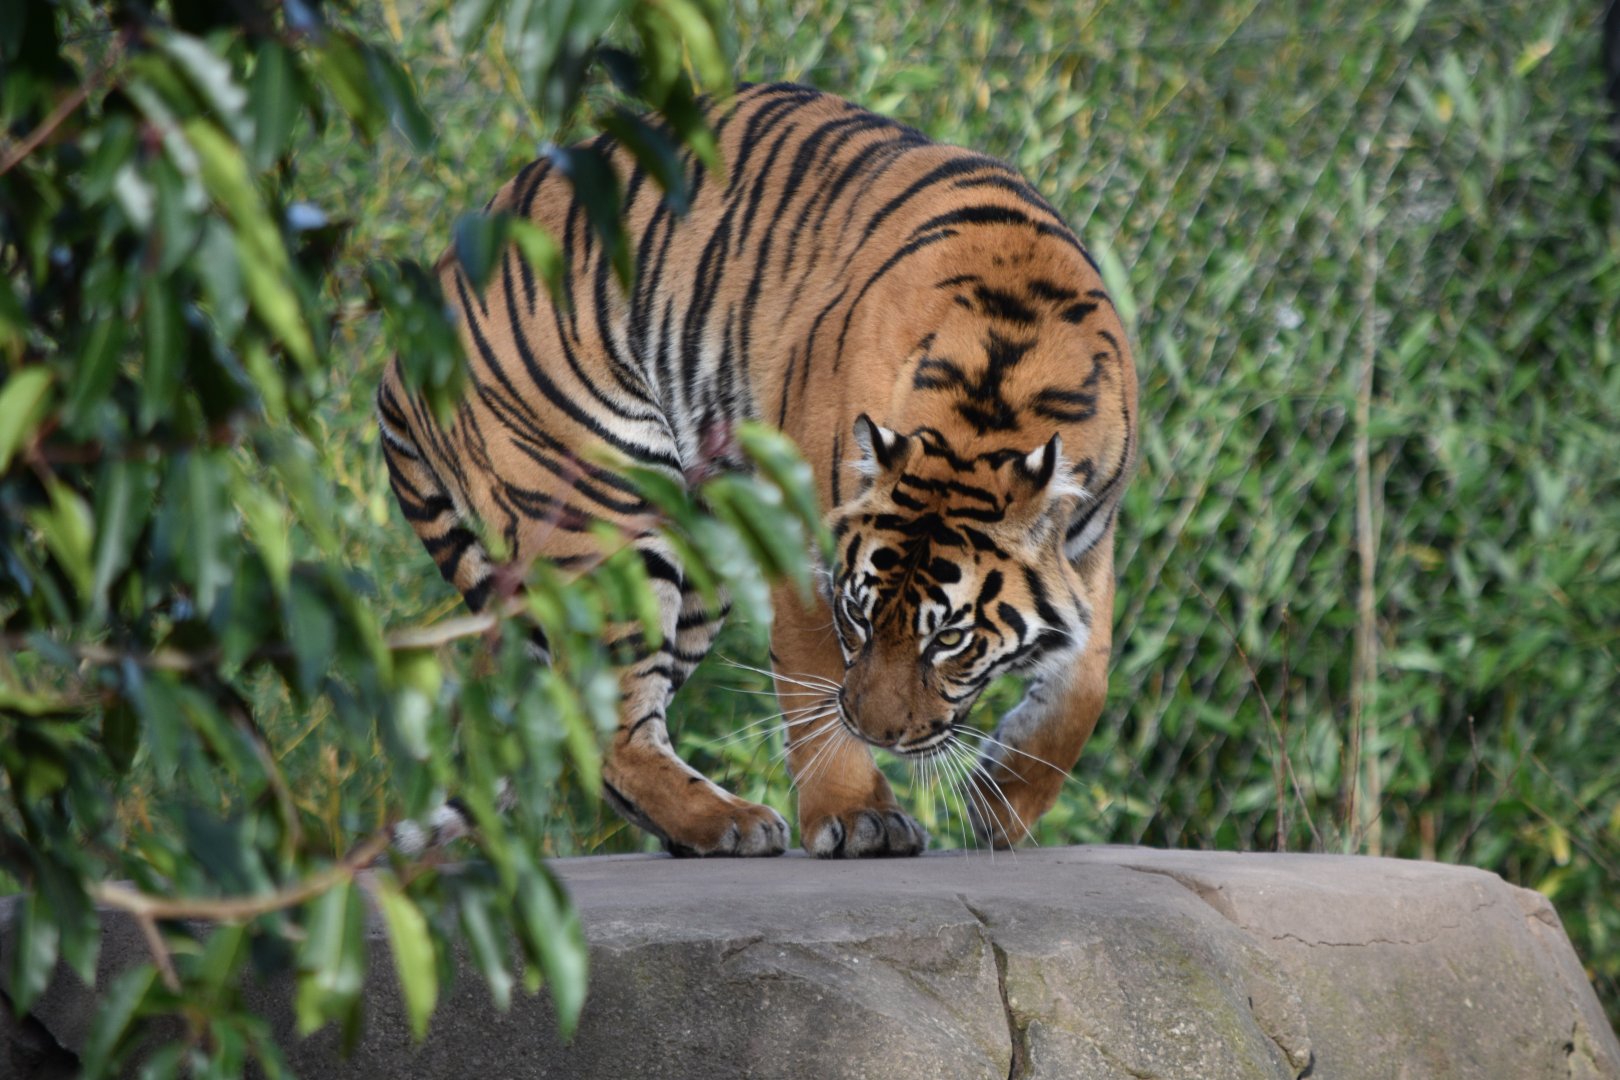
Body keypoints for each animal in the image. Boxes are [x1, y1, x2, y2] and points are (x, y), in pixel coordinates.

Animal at [376, 82, 1137, 858]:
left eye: (949, 639)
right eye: (858, 615)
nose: (879, 733)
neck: (996, 390)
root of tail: (404, 348)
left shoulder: (1091, 544)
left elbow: (1088, 679)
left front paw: (1004, 802)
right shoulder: (803, 538)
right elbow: (812, 677)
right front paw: (857, 815)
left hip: (699, 545)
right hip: (609, 503)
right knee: (606, 720)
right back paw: (726, 820)